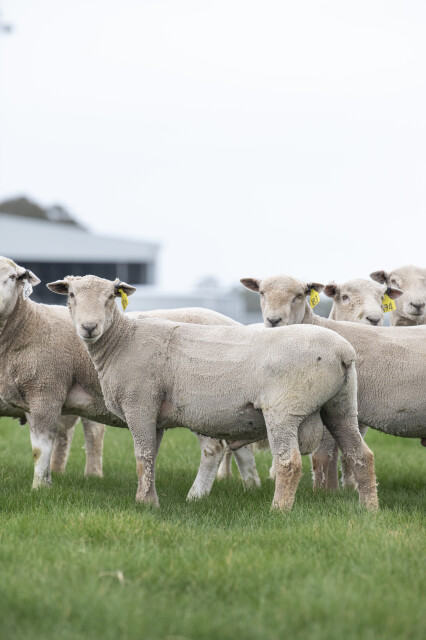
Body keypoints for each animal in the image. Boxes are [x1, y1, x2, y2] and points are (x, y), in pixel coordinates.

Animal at [47, 274, 378, 512]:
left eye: (110, 298)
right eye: (72, 296)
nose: (89, 328)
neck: (122, 340)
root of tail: (342, 352)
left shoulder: (139, 405)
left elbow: (142, 455)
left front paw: (144, 503)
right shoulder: (154, 415)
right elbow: (151, 456)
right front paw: (149, 499)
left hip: (284, 410)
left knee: (289, 462)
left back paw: (279, 510)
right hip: (341, 407)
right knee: (362, 455)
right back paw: (369, 509)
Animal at [240, 274, 426, 491]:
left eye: (298, 295)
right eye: (262, 293)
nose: (273, 320)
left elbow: (324, 455)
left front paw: (325, 492)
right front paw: (335, 490)